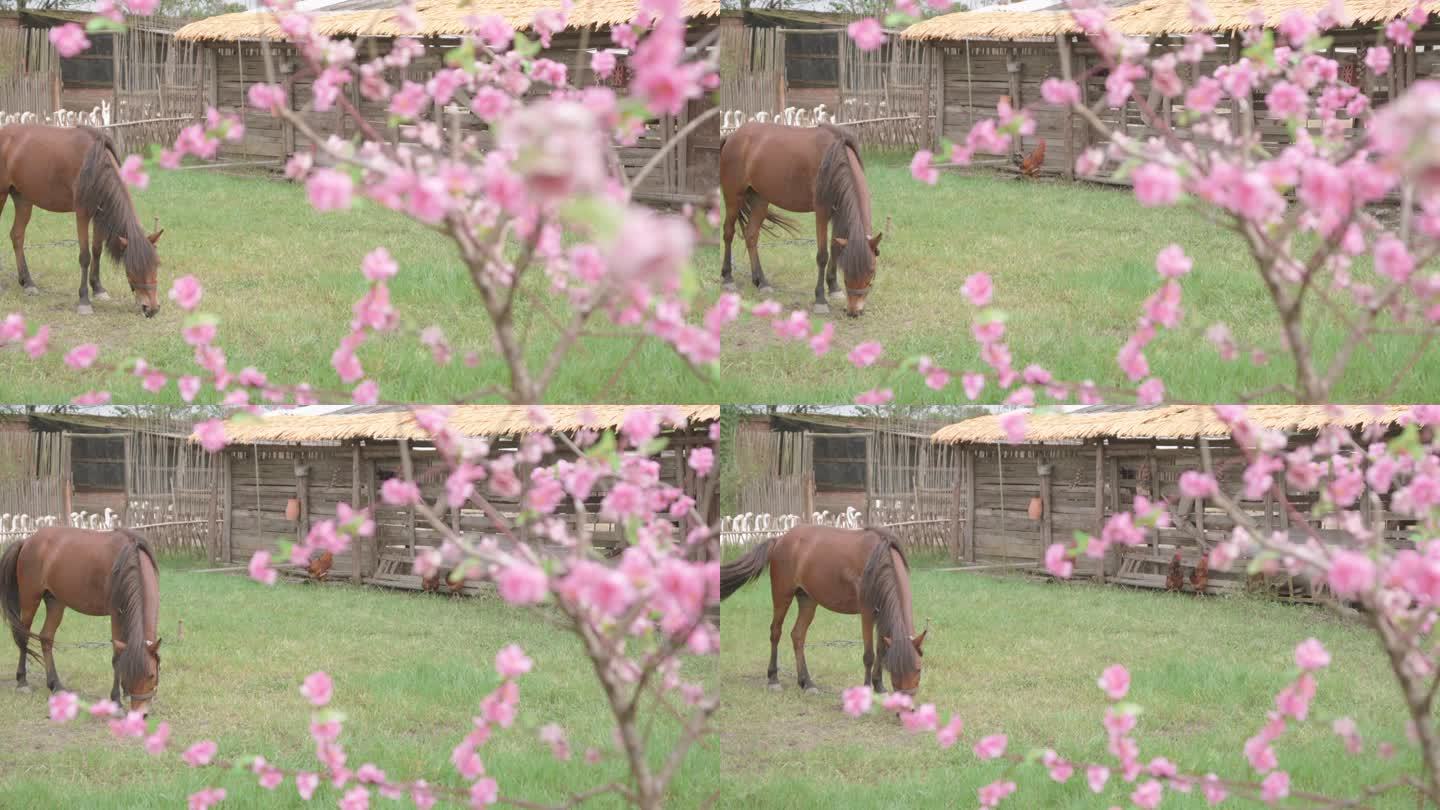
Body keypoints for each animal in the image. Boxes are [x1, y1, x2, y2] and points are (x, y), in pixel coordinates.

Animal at [0, 124, 164, 317]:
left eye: (157, 265)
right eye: (132, 269)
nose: (152, 308)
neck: (95, 165)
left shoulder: (99, 214)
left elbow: (97, 250)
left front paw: (98, 288)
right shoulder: (82, 214)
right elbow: (85, 256)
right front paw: (84, 300)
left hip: (23, 199)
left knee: (17, 236)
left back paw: (27, 282)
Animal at [0, 527, 163, 709]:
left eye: (151, 675)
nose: (141, 712)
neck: (130, 560)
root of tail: (27, 541)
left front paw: (125, 693)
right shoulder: (115, 614)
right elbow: (117, 657)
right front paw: (116, 699)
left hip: (55, 602)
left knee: (46, 638)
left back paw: (55, 684)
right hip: (30, 599)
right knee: (23, 636)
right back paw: (22, 681)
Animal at [717, 524, 921, 694]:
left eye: (919, 669)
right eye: (897, 672)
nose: (907, 704)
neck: (880, 559)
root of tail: (780, 539)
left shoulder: (880, 612)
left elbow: (881, 650)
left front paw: (879, 686)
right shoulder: (867, 612)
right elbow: (869, 655)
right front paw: (867, 690)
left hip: (807, 600)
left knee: (797, 635)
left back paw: (806, 683)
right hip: (782, 595)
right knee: (776, 632)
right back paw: (774, 679)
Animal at [720, 121, 887, 317]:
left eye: (872, 271)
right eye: (847, 272)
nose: (854, 311)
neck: (835, 158)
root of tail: (731, 137)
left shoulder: (837, 212)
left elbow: (835, 248)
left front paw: (834, 287)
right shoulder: (822, 211)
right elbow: (823, 255)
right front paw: (820, 299)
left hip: (760, 199)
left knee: (751, 235)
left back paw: (761, 281)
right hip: (734, 197)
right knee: (728, 233)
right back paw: (728, 277)